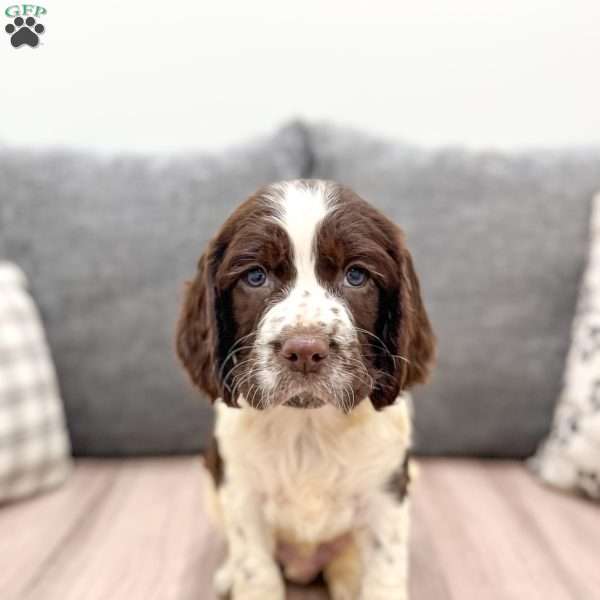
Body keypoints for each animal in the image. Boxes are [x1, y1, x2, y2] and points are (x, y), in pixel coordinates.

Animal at [176, 179, 434, 600]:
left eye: (356, 276)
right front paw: (244, 578)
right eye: (255, 277)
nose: (305, 351)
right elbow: (256, 572)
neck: (308, 427)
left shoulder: (388, 493)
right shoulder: (240, 493)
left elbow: (385, 571)